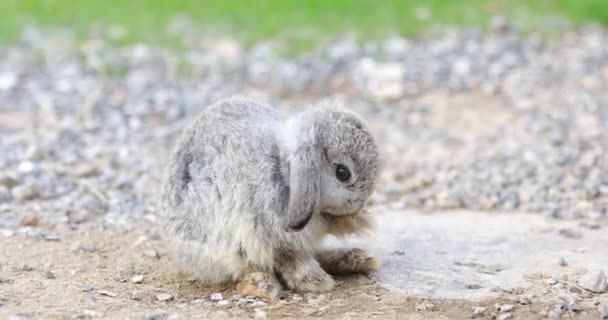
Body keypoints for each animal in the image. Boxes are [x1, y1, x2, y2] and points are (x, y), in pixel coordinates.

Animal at [158, 96, 380, 294]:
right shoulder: (271, 233)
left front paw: (358, 222)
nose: (358, 204)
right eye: (343, 172)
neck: (284, 170)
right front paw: (317, 282)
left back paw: (357, 259)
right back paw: (264, 283)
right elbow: (292, 261)